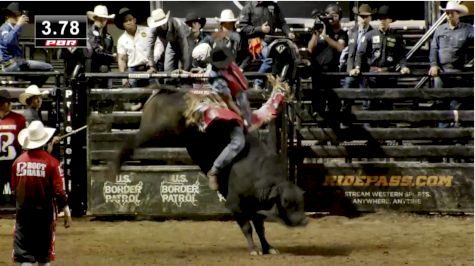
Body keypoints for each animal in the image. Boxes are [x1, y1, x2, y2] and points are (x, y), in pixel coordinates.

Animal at [112, 86, 308, 255]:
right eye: (286, 201)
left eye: (301, 200)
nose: (304, 220)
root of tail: (170, 92)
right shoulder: (235, 204)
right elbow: (247, 227)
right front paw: (253, 250)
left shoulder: (256, 206)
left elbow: (260, 228)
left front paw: (268, 248)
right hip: (160, 131)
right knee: (135, 140)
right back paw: (115, 163)